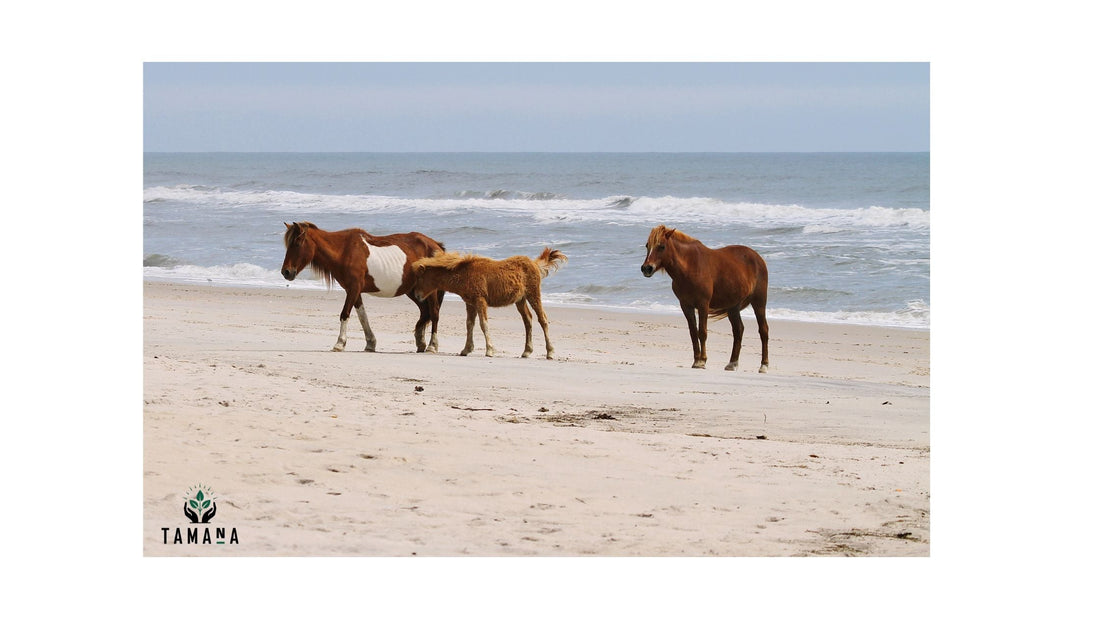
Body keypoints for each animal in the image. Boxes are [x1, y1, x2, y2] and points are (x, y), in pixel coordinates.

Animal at [281, 222, 447, 353]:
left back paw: (432, 345)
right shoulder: (353, 290)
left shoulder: (354, 288)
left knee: (434, 312)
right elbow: (362, 316)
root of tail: (435, 245)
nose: (286, 272)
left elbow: (345, 314)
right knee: (425, 312)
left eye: (297, 243)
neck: (344, 251)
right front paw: (370, 343)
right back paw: (421, 343)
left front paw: (340, 343)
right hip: (412, 290)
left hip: (429, 290)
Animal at [411, 248, 567, 359]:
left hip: (533, 294)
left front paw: (490, 350)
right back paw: (526, 351)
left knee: (543, 319)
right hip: (520, 300)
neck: (464, 274)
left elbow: (483, 324)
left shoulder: (480, 300)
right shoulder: (470, 303)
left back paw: (550, 352)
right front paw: (466, 349)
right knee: (528, 320)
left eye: (420, 278)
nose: (418, 295)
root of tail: (534, 263)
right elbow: (469, 324)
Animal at [640, 225, 769, 372]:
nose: (646, 268)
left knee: (763, 330)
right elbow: (693, 333)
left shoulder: (703, 304)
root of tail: (758, 258)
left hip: (759, 302)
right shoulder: (686, 306)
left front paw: (702, 361)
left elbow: (702, 332)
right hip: (733, 306)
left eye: (661, 246)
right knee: (738, 330)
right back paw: (732, 363)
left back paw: (764, 365)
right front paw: (696, 360)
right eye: (647, 246)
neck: (690, 267)